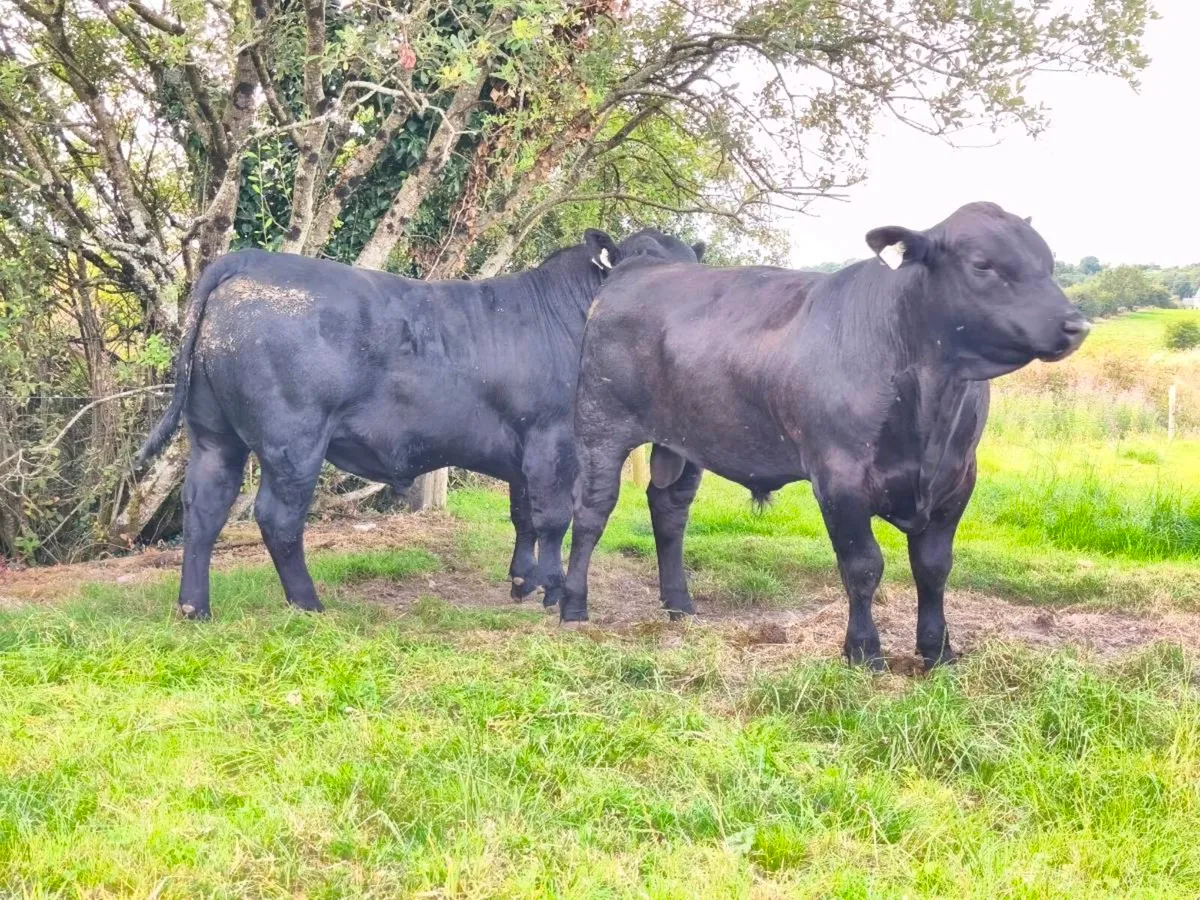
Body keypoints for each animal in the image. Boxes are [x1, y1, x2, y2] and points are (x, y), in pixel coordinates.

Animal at [135, 230, 704, 620]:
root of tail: (247, 259)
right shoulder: (553, 439)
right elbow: (551, 519)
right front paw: (553, 588)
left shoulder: (523, 449)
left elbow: (523, 516)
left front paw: (522, 582)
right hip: (293, 440)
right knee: (277, 516)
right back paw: (308, 603)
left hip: (214, 436)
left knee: (204, 509)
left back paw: (194, 608)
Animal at [561, 202, 1090, 670]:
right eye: (982, 263)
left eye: (1047, 262)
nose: (1077, 324)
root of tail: (632, 271)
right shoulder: (840, 478)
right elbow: (863, 566)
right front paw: (864, 651)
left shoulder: (958, 480)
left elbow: (934, 567)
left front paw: (938, 651)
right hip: (599, 427)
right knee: (591, 512)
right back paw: (572, 605)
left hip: (683, 441)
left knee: (669, 510)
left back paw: (679, 605)